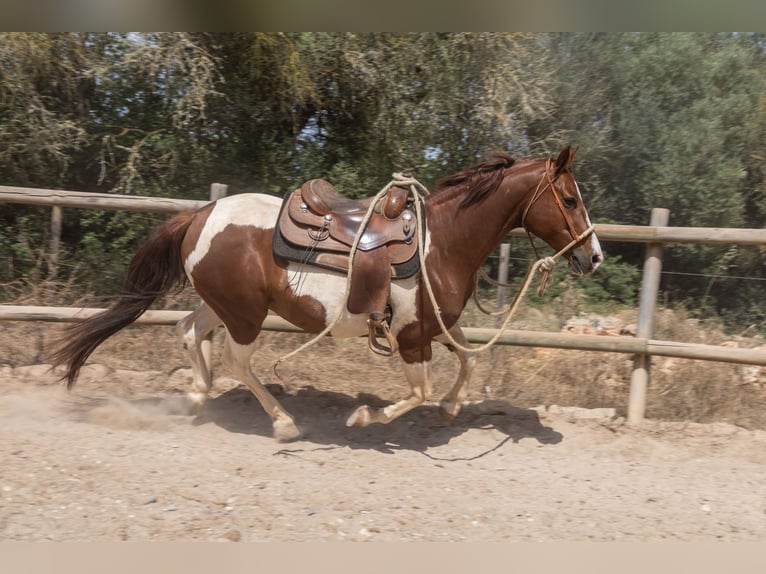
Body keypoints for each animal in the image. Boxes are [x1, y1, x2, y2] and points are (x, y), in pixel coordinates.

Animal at [51, 145, 603, 442]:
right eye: (570, 199)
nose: (593, 256)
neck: (442, 242)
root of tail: (201, 214)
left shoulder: (437, 326)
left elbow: (468, 361)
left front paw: (450, 409)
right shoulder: (412, 338)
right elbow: (417, 392)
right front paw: (365, 416)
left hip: (222, 304)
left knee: (189, 332)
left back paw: (195, 395)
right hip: (245, 315)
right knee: (235, 360)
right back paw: (283, 423)